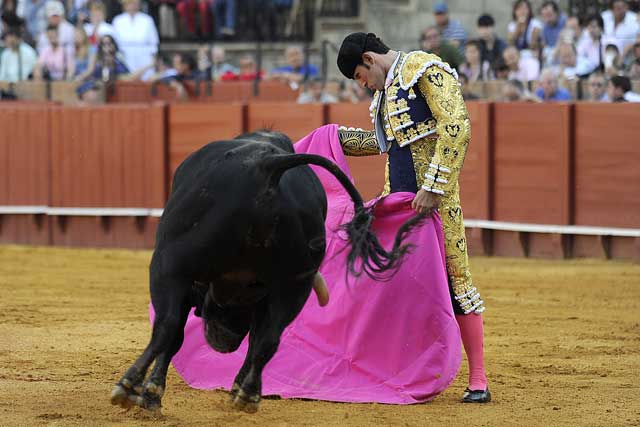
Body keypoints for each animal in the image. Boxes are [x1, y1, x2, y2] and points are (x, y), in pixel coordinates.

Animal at [110, 131, 422, 414]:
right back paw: (248, 395)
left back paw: (127, 386)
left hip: (169, 265)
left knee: (167, 326)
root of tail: (268, 167)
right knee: (268, 339)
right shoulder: (264, 293)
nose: (224, 342)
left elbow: (174, 337)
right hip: (294, 285)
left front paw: (150, 395)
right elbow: (256, 339)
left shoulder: (189, 281)